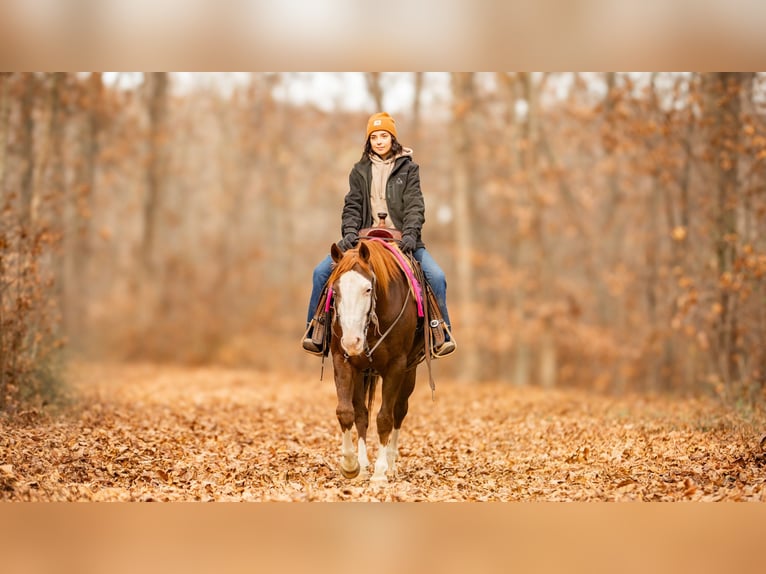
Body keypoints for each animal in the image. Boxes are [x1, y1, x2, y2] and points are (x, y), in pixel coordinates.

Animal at [328, 238, 426, 486]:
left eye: (368, 289)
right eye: (335, 290)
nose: (352, 341)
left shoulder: (396, 366)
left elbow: (384, 418)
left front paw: (380, 473)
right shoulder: (343, 360)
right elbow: (347, 412)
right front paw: (351, 466)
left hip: (409, 373)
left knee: (399, 411)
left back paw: (390, 466)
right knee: (362, 414)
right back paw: (363, 466)